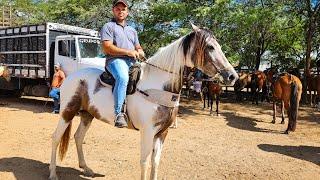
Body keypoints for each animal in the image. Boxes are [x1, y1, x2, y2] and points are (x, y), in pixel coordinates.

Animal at [48, 24, 239, 180]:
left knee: (78, 137)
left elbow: (156, 161)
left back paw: (86, 168)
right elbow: (145, 162)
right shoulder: (147, 132)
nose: (232, 76)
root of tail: (71, 77)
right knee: (56, 138)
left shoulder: (162, 132)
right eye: (210, 47)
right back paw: (52, 173)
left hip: (87, 115)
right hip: (67, 112)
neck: (158, 86)